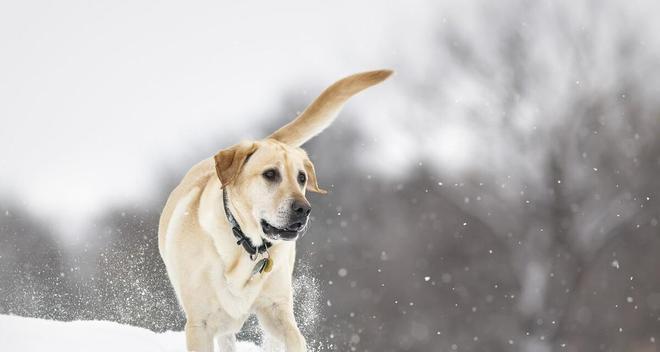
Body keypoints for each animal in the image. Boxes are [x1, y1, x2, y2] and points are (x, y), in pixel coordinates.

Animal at [159, 70, 392, 350]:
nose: (304, 209)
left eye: (302, 178)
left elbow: (295, 338)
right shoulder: (199, 323)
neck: (245, 247)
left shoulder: (276, 310)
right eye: (270, 174)